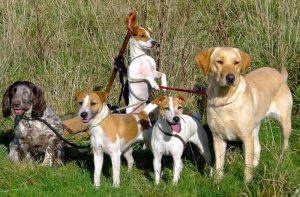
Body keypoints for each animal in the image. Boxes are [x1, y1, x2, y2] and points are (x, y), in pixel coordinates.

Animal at [195, 47, 292, 182]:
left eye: (236, 62)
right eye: (219, 62)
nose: (231, 78)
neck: (224, 100)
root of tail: (280, 75)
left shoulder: (246, 137)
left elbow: (246, 164)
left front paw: (247, 182)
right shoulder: (218, 138)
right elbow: (219, 164)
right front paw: (217, 181)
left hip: (284, 123)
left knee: (285, 144)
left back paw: (281, 159)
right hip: (255, 128)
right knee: (258, 148)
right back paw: (256, 166)